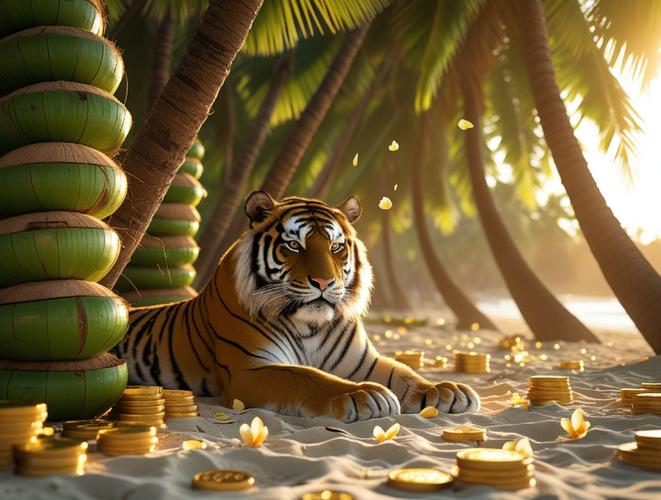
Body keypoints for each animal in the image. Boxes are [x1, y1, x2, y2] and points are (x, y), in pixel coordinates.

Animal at [116, 192, 479, 422]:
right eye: (294, 245)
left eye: (336, 247)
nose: (324, 282)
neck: (309, 325)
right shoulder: (250, 369)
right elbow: (308, 377)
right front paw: (365, 396)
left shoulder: (364, 361)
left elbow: (404, 373)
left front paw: (446, 390)